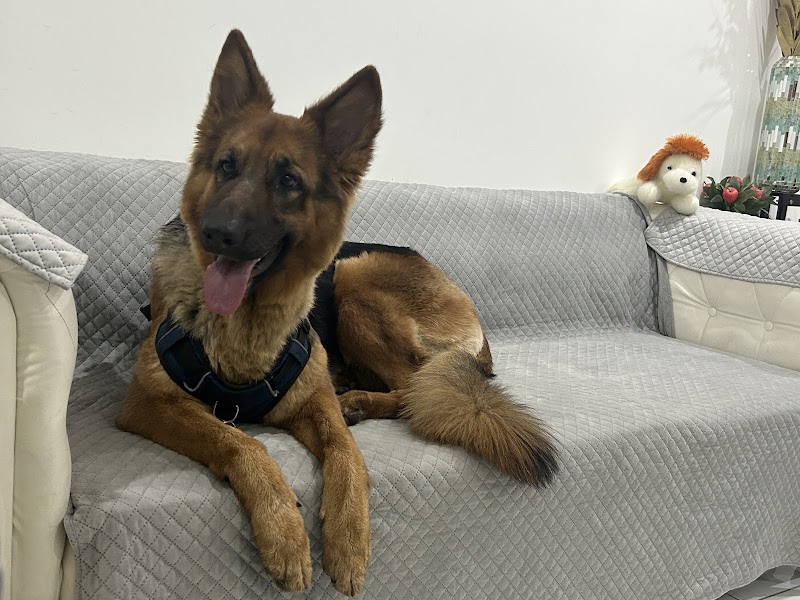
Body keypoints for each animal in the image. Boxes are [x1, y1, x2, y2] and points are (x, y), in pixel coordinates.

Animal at [117, 29, 559, 595]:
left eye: (288, 181)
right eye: (226, 166)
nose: (216, 234)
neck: (247, 334)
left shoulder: (315, 402)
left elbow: (348, 455)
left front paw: (348, 540)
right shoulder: (148, 404)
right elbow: (239, 441)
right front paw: (285, 532)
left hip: (354, 276)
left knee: (414, 389)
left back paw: (360, 401)